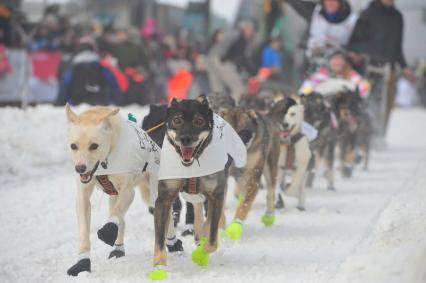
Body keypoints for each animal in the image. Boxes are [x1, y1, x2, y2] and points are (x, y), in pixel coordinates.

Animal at [148, 96, 246, 282]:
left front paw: (201, 254)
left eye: (199, 121)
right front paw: (158, 266)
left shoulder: (216, 194)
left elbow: (212, 239)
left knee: (210, 218)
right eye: (177, 120)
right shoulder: (164, 199)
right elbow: (159, 239)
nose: (185, 138)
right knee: (197, 206)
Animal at [220, 106, 282, 240]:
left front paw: (235, 227)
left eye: (245, 132)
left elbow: (244, 204)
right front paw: (220, 230)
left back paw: (269, 216)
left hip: (270, 167)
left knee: (270, 192)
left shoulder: (254, 176)